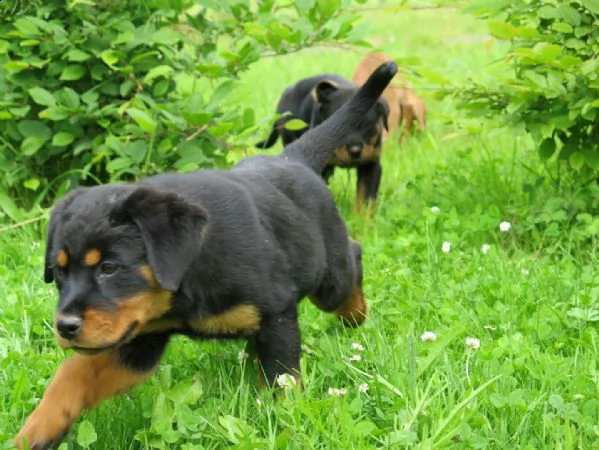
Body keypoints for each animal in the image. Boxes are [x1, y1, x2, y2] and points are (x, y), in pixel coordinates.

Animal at [256, 74, 390, 214]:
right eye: (338, 126)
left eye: (367, 125)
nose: (355, 151)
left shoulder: (371, 163)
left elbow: (366, 199)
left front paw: (361, 219)